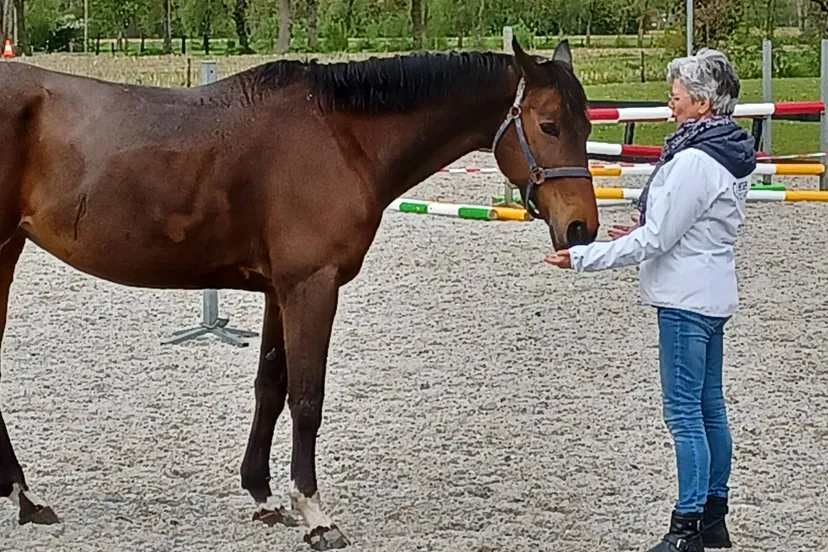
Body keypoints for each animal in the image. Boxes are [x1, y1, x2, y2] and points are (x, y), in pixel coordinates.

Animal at [0, 38, 598, 550]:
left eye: (587, 124)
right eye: (548, 125)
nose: (581, 229)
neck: (338, 136)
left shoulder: (277, 291)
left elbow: (270, 386)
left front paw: (263, 495)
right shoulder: (312, 286)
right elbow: (307, 398)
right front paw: (314, 513)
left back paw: (26, 499)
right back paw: (24, 494)